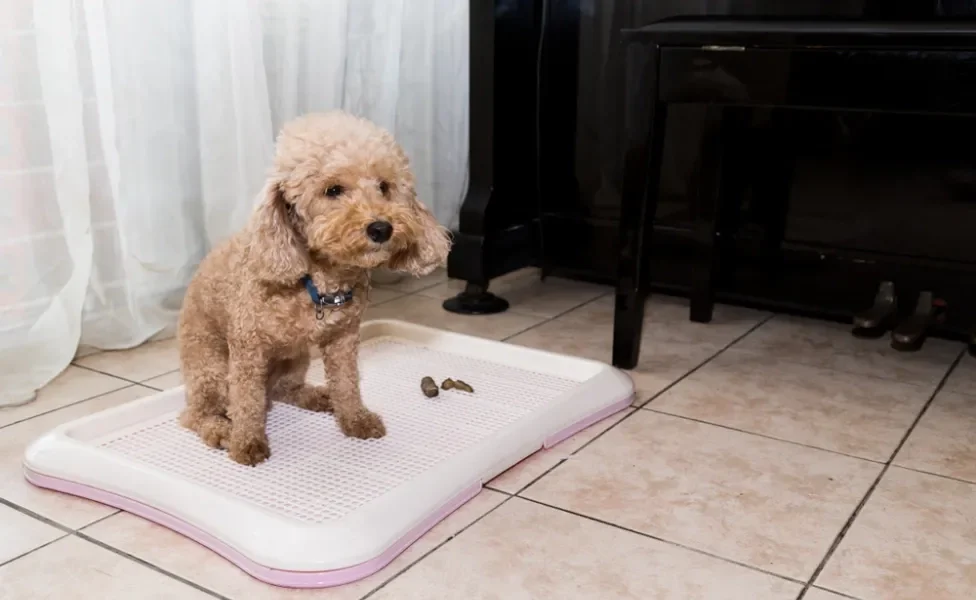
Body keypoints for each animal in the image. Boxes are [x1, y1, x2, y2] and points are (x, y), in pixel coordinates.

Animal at [180, 111, 454, 464]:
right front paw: (247, 443)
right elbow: (247, 400)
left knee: (282, 389)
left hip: (294, 359)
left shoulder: (344, 338)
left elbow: (347, 384)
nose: (381, 228)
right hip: (211, 368)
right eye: (333, 190)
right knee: (197, 414)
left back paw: (317, 397)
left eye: (384, 187)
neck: (320, 283)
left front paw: (355, 419)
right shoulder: (247, 347)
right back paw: (220, 429)